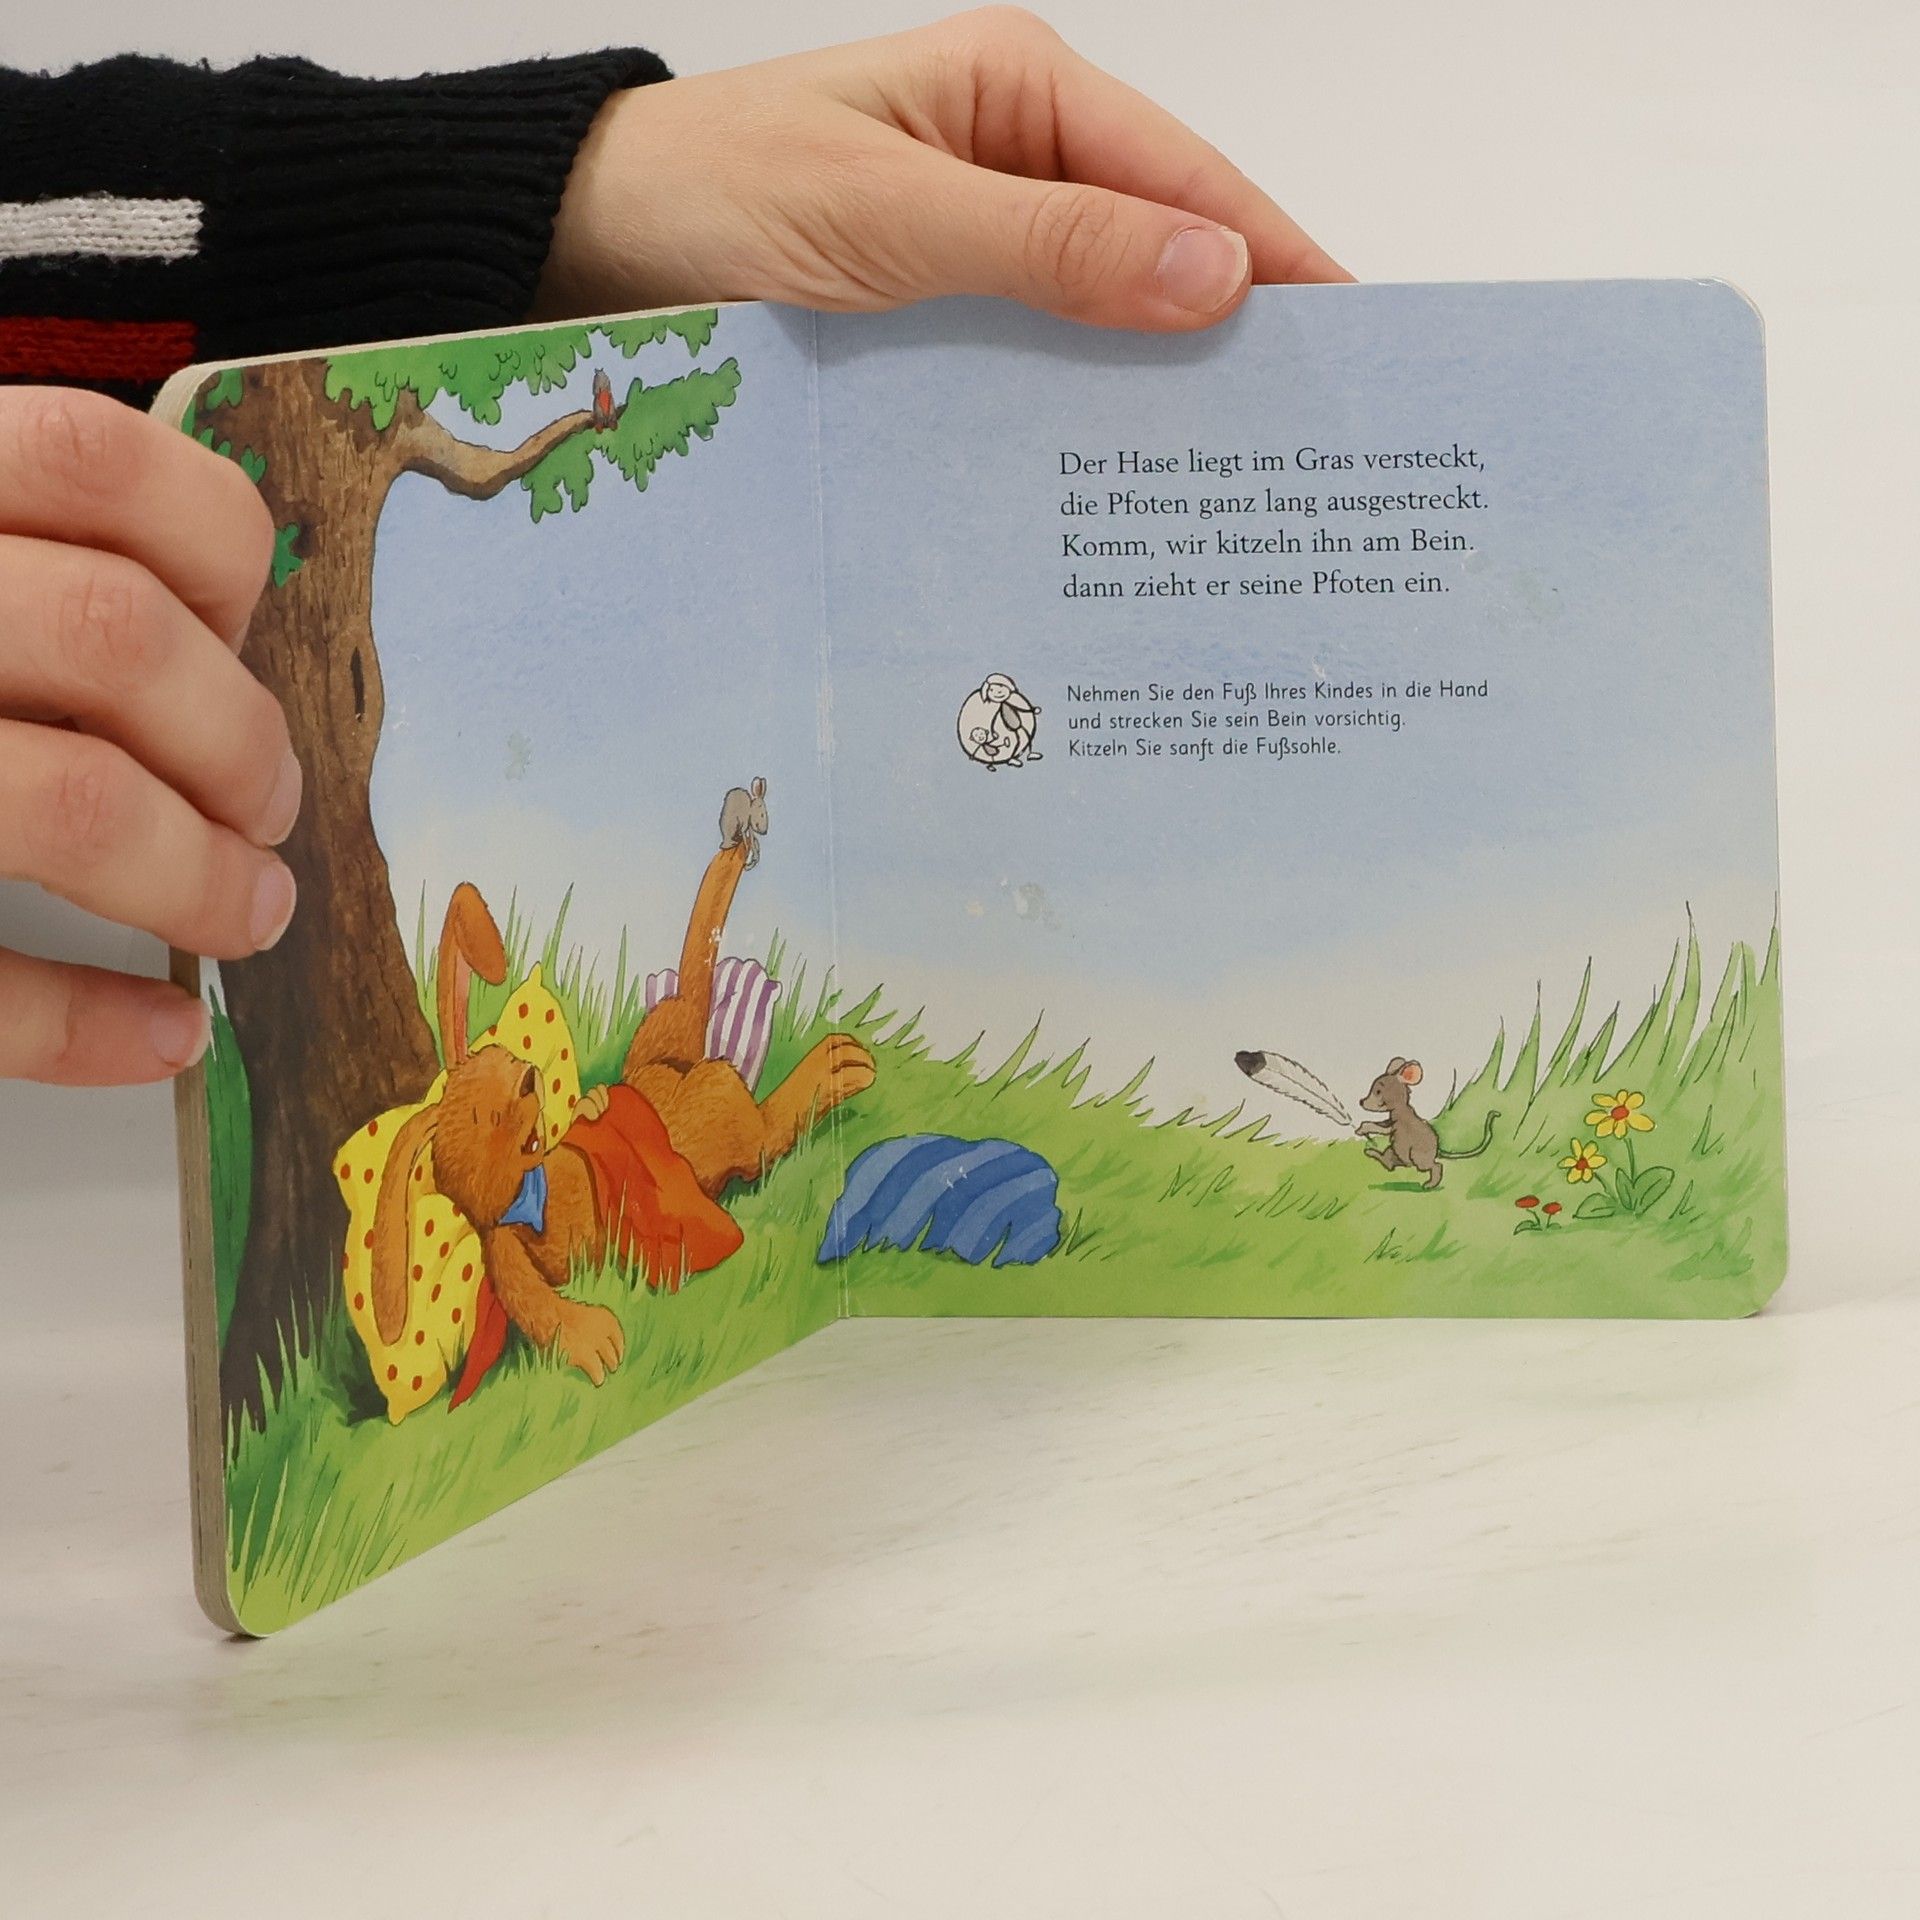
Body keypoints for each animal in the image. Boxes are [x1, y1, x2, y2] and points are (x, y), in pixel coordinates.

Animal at [369, 807, 874, 1399]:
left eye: (506, 1058)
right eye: (485, 1115)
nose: (529, 1077)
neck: (531, 1190)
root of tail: (676, 1072)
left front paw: (591, 1105)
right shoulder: (504, 1247)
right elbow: (533, 1299)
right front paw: (595, 1340)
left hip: (688, 1076)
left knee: (695, 1013)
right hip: (713, 1100)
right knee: (755, 1113)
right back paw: (837, 1066)